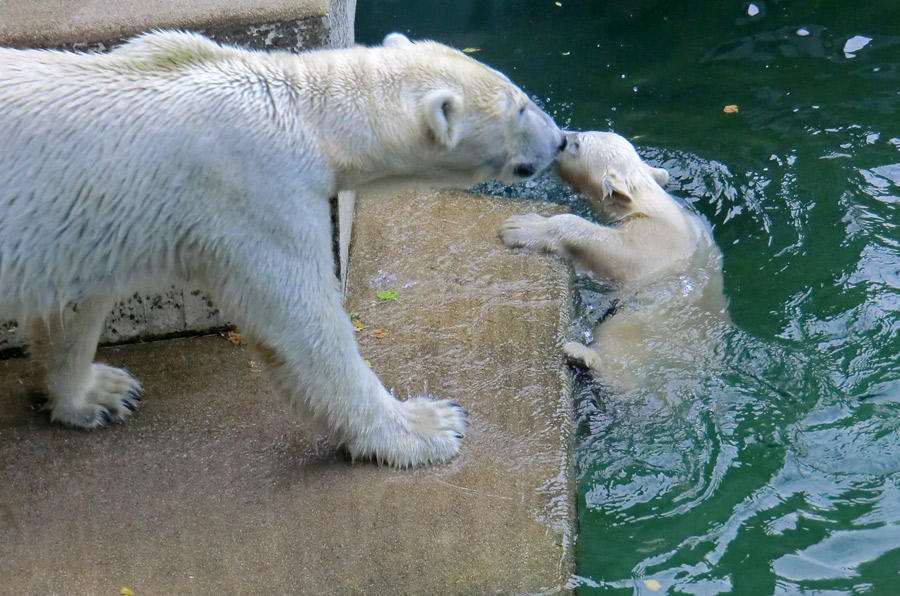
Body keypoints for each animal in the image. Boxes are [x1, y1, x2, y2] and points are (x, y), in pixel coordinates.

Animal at [0, 32, 564, 468]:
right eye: (519, 106)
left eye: (520, 91)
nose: (561, 140)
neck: (305, 112)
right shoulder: (257, 193)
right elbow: (302, 324)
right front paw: (429, 425)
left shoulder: (87, 223)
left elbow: (73, 303)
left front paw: (101, 393)